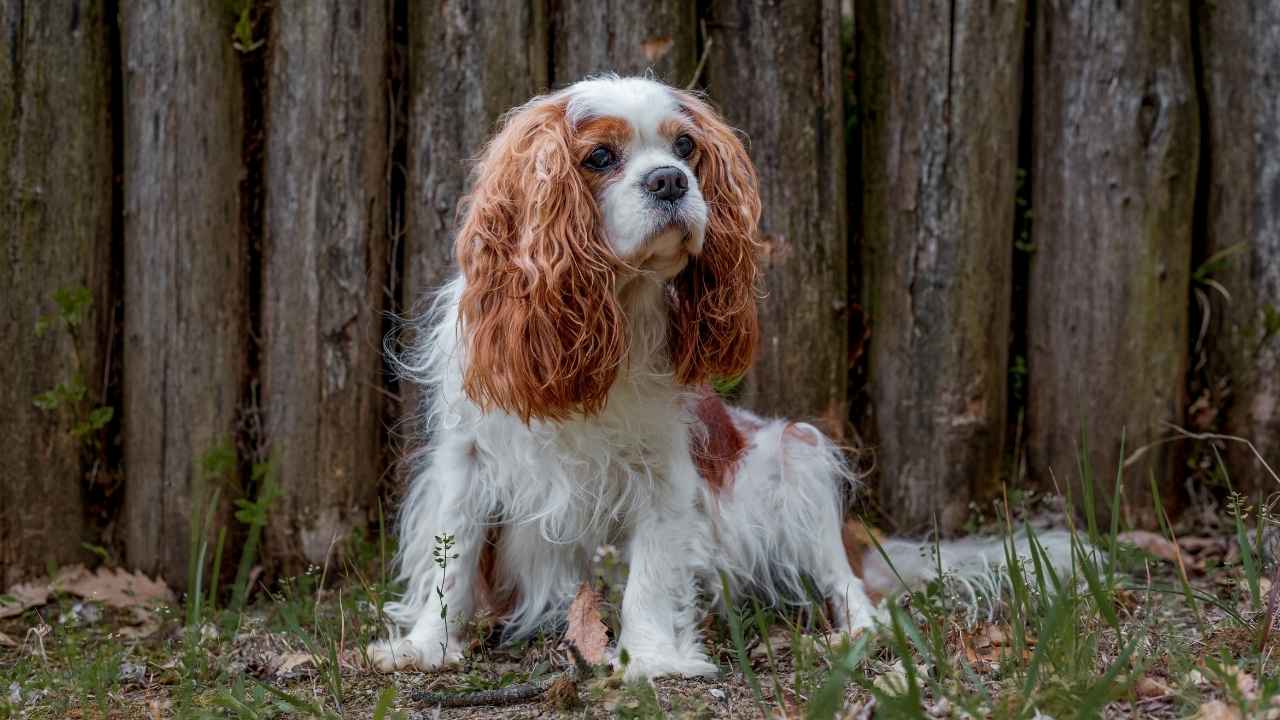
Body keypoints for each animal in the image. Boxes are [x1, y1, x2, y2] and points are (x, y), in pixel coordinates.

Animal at [368, 75, 1070, 681]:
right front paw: (426, 646)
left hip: (797, 456)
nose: (669, 180)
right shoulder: (467, 460)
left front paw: (650, 660)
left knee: (847, 583)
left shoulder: (665, 474)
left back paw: (851, 635)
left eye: (685, 147)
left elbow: (651, 575)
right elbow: (451, 560)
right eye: (599, 156)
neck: (614, 311)